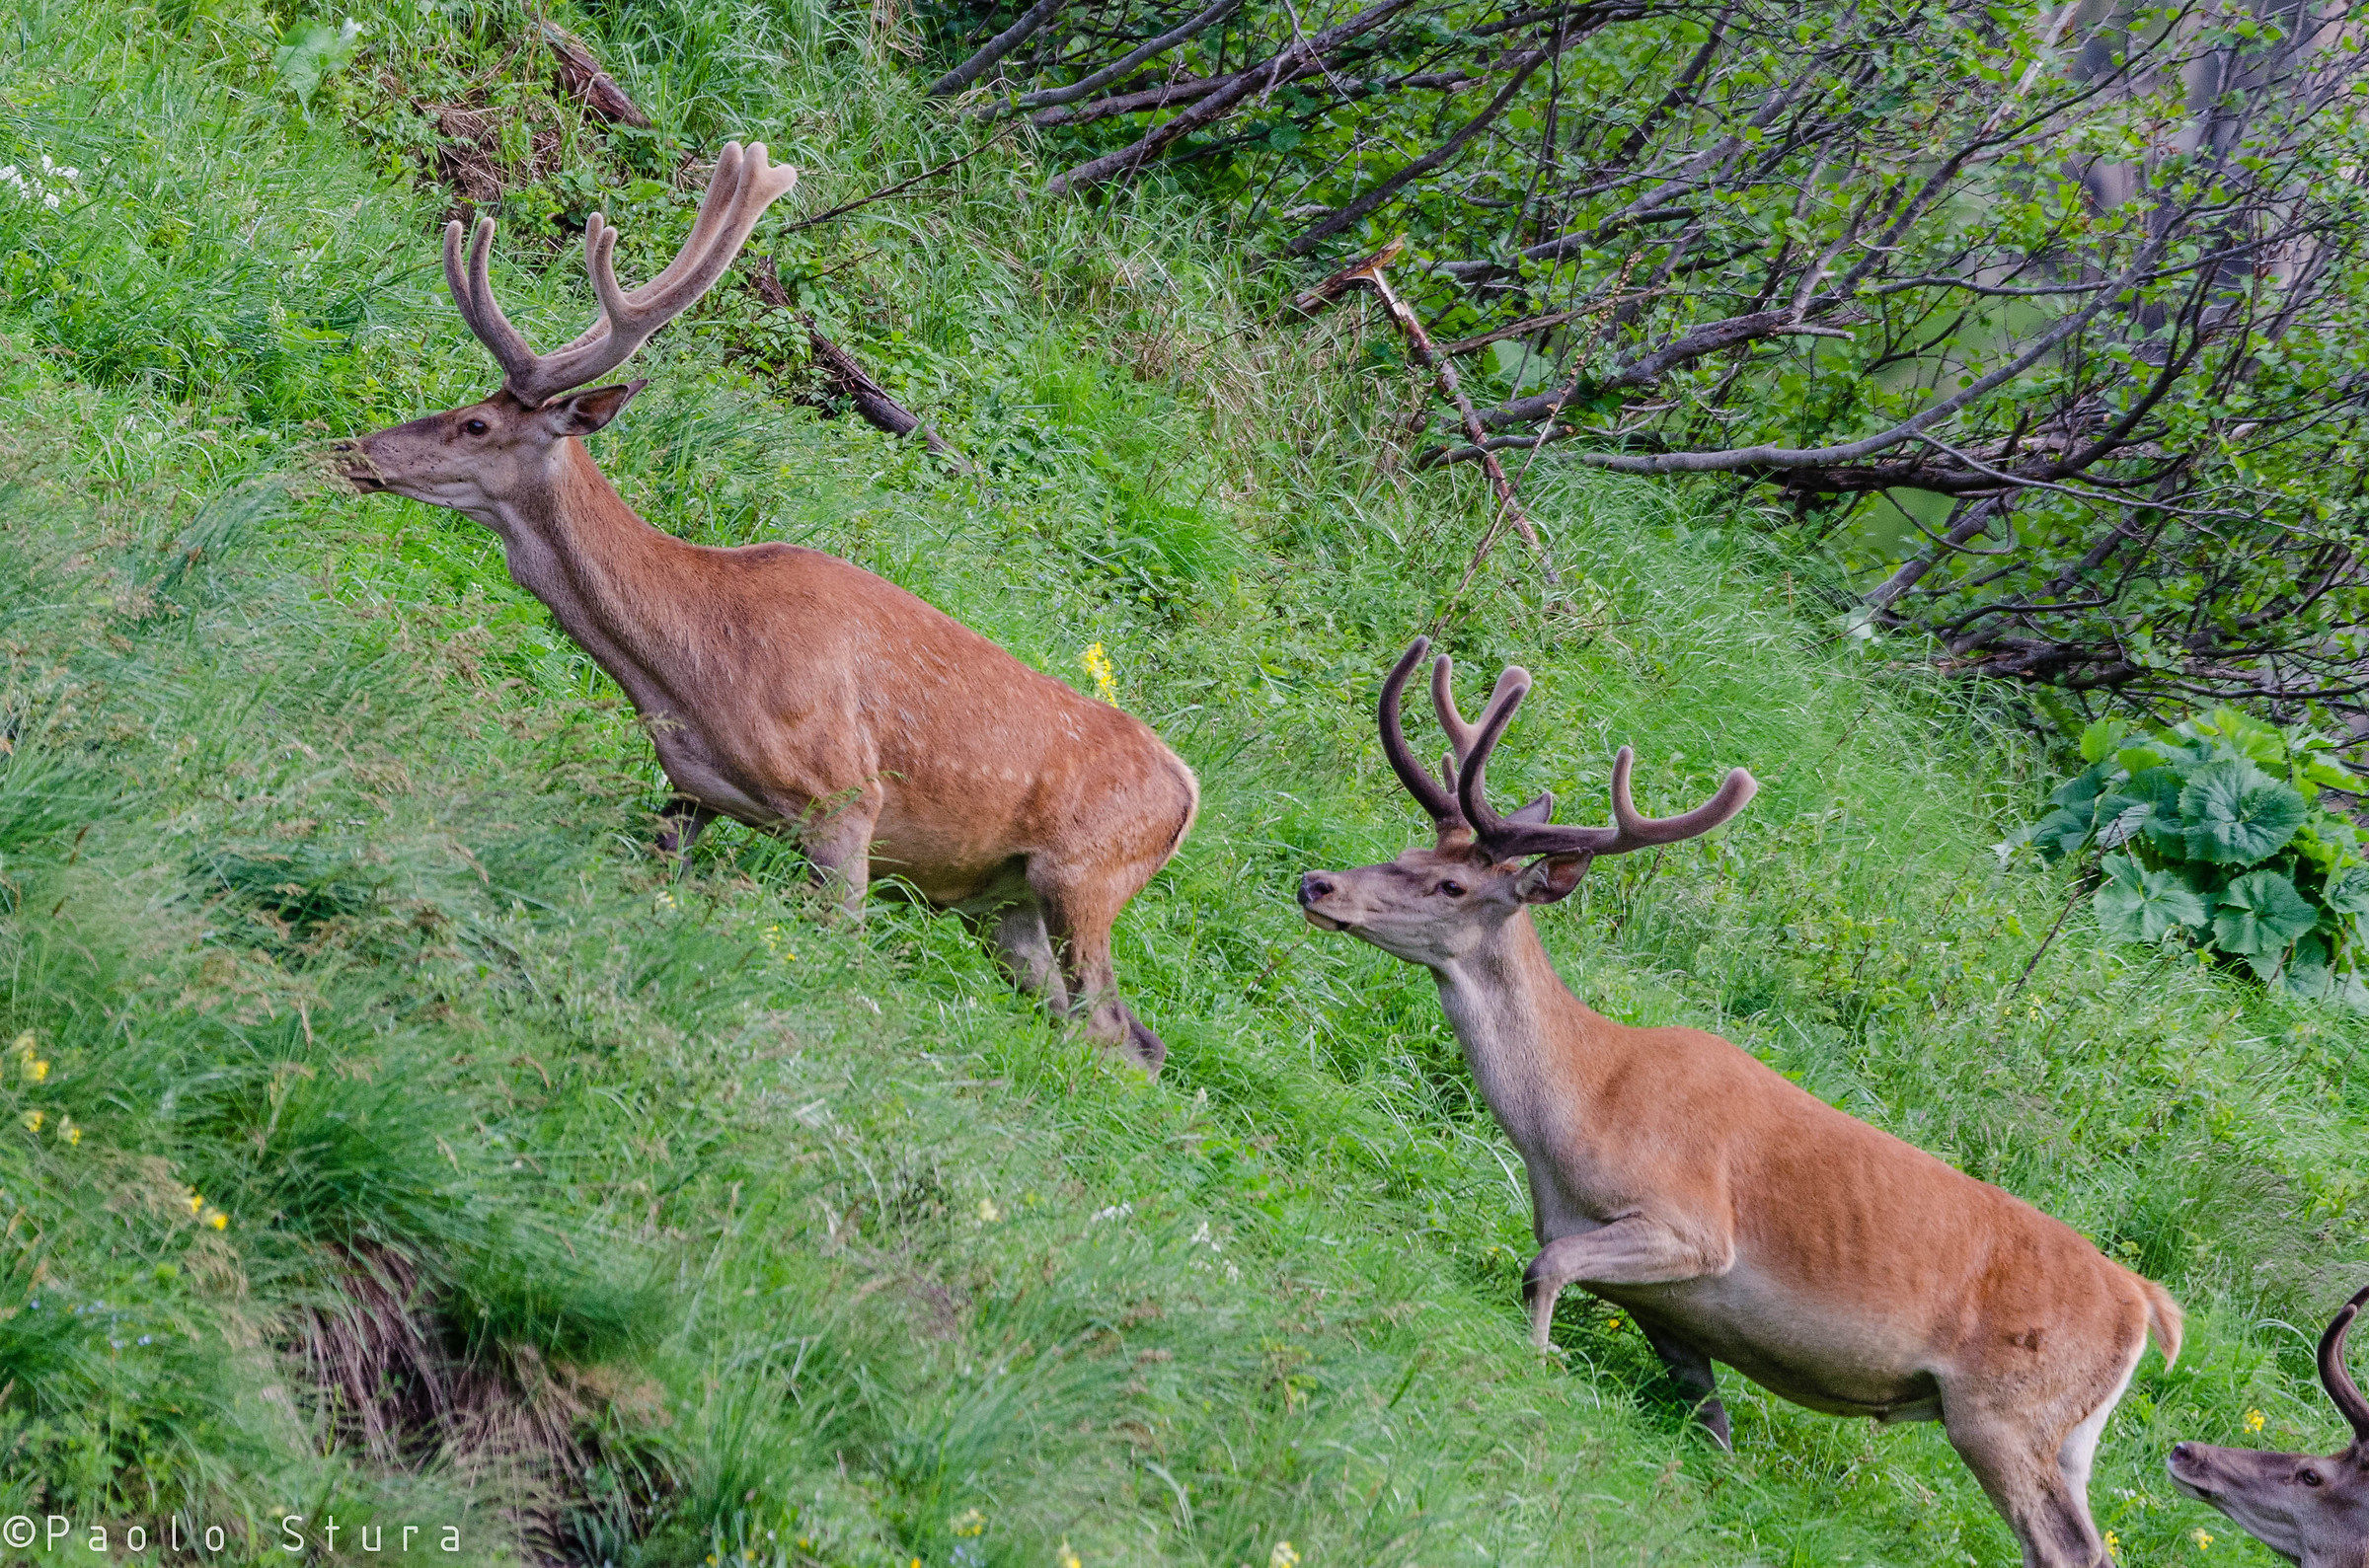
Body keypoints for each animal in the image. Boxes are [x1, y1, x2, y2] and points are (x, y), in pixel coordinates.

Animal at [334, 143, 1197, 1070]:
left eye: (476, 426)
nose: (359, 450)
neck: (692, 669)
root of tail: (1187, 792)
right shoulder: (691, 789)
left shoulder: (847, 803)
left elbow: (834, 953)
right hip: (1010, 906)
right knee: (1123, 1033)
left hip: (1085, 876)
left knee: (1109, 1023)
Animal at [1296, 636, 2184, 1568]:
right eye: (1409, 852)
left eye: (1452, 888)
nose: (1318, 882)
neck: (1572, 1115)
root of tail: (2145, 1302)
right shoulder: (1672, 1313)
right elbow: (1710, 1421)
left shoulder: (1693, 1225)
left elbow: (1548, 1266)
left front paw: (1530, 1364)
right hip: (2068, 1434)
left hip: (2006, 1411)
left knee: (2069, 1546)